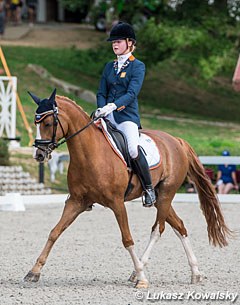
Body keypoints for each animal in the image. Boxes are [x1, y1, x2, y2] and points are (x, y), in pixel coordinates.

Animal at [23, 89, 231, 288]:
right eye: (35, 123)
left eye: (48, 123)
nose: (39, 155)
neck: (90, 154)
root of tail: (176, 140)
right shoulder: (76, 202)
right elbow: (54, 232)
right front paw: (34, 272)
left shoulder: (117, 203)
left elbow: (127, 239)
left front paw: (142, 279)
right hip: (160, 198)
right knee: (179, 226)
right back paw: (195, 273)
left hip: (166, 193)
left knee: (158, 229)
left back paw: (140, 271)